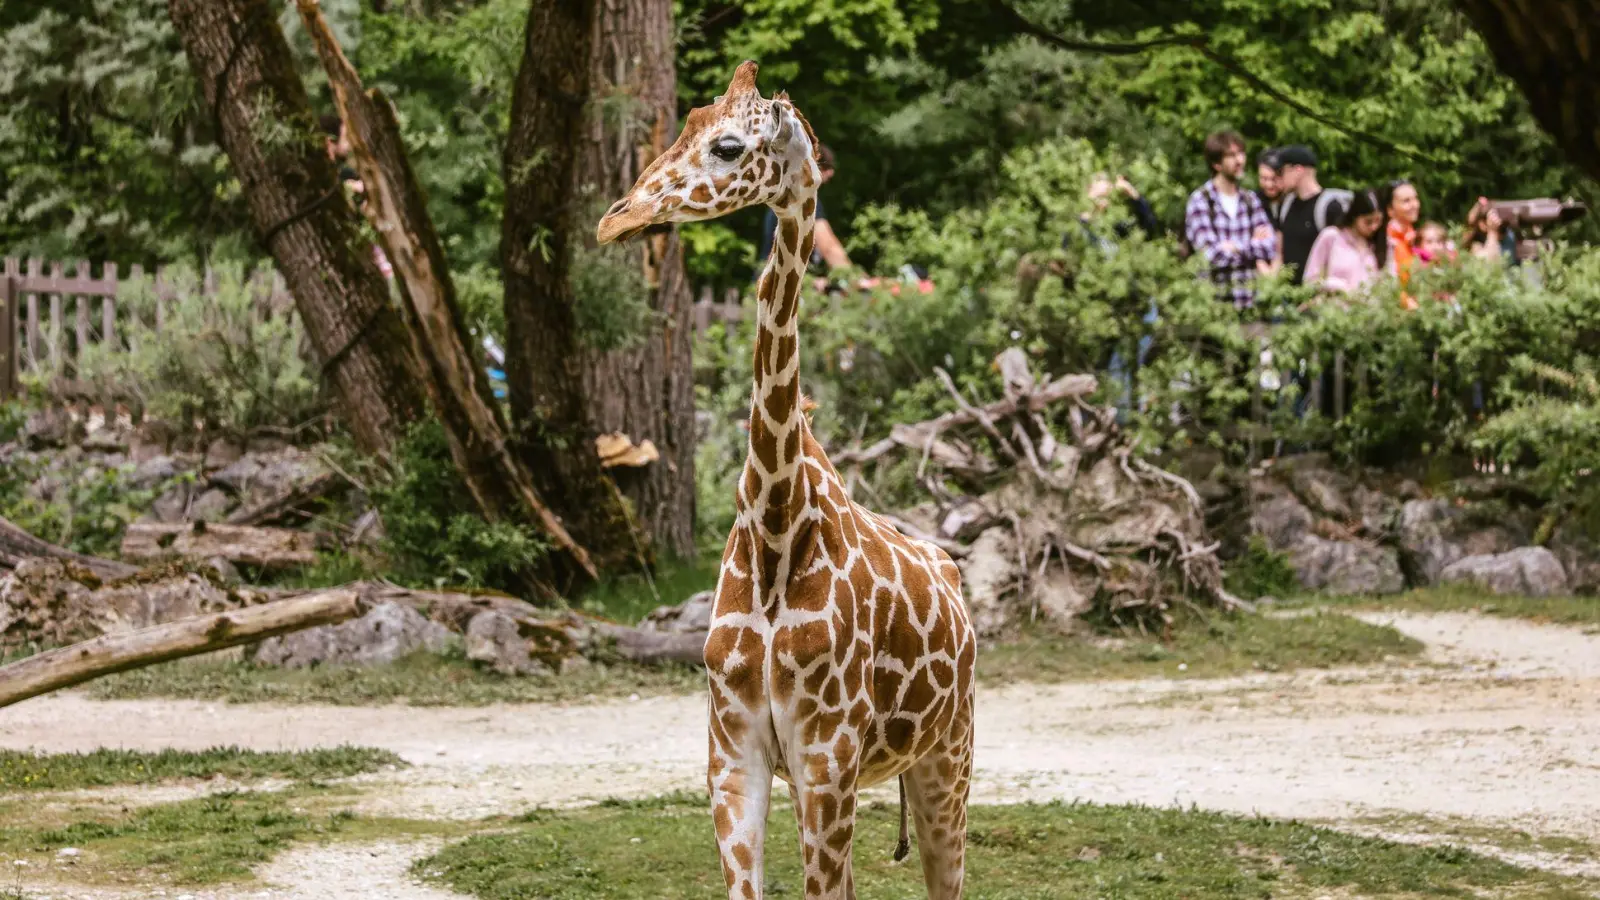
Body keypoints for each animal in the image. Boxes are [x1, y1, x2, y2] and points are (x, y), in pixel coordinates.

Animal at [598, 59, 972, 890]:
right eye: (687, 121)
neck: (775, 529)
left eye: (729, 146)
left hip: (947, 756)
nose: (614, 219)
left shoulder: (825, 757)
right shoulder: (732, 758)